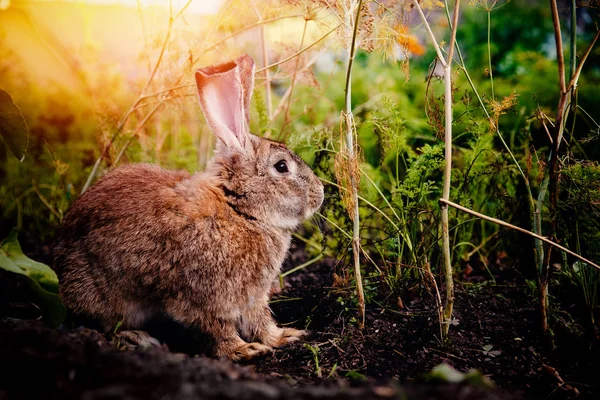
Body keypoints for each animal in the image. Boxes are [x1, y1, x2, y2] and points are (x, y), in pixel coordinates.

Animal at [52, 51, 324, 360]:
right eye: (281, 167)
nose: (320, 194)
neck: (239, 211)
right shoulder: (202, 296)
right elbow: (217, 328)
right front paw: (244, 350)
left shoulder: (252, 297)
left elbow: (260, 320)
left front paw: (284, 337)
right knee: (102, 323)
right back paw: (138, 337)